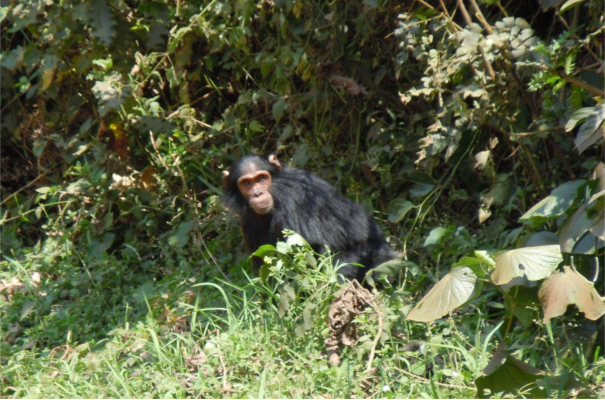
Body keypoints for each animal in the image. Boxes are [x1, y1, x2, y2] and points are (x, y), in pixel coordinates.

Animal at [222, 153, 396, 282]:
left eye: (261, 179)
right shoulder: (248, 220)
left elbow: (308, 249)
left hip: (377, 258)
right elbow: (262, 261)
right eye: (246, 183)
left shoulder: (292, 197)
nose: (257, 193)